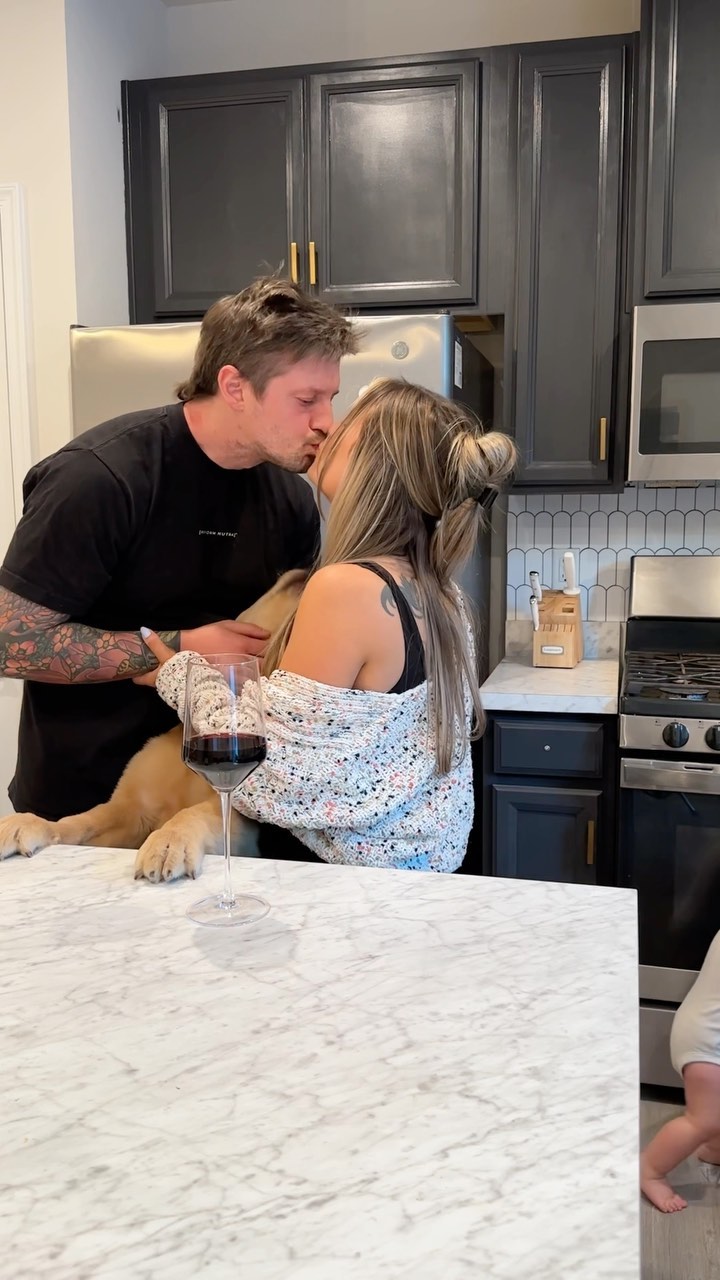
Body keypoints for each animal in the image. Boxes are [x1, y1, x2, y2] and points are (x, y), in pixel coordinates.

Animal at [0, 569, 307, 882]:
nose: (304, 571)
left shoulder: (237, 821)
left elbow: (193, 813)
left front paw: (169, 841)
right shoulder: (129, 809)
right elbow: (82, 820)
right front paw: (30, 824)